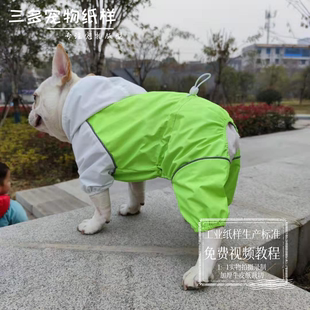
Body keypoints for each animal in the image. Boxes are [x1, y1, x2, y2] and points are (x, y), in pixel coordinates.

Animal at [28, 44, 240, 290]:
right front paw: (132, 209)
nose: (29, 112)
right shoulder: (134, 164)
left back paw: (199, 271)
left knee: (212, 229)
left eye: (35, 97)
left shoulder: (92, 170)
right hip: (225, 174)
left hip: (195, 173)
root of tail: (225, 123)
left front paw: (94, 225)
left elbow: (100, 206)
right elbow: (135, 189)